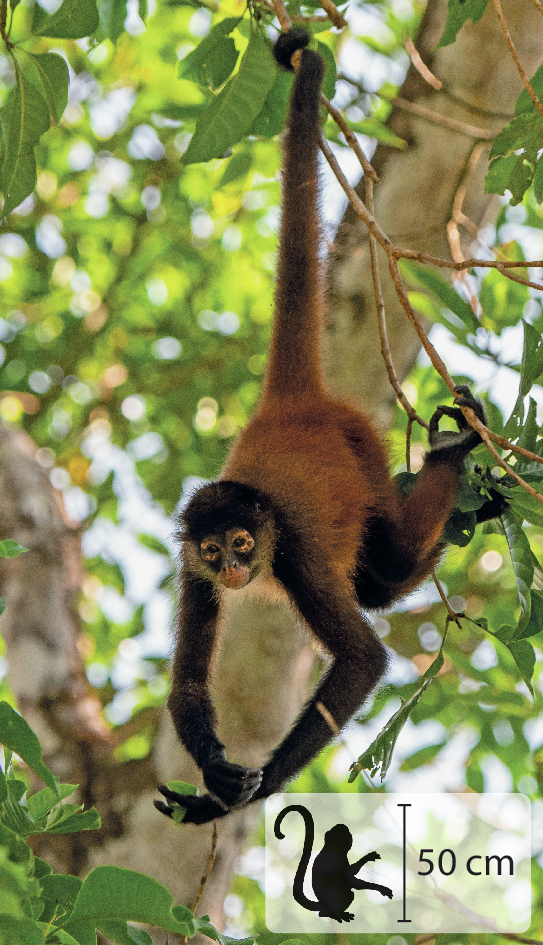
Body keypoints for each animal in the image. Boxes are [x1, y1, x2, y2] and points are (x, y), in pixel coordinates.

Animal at [155, 31, 504, 824]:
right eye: (215, 550)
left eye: (245, 544)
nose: (234, 569)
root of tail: (291, 406)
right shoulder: (189, 568)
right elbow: (186, 685)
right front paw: (214, 779)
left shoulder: (294, 552)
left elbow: (365, 660)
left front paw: (242, 796)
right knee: (378, 579)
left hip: (362, 444)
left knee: (390, 564)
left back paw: (452, 454)